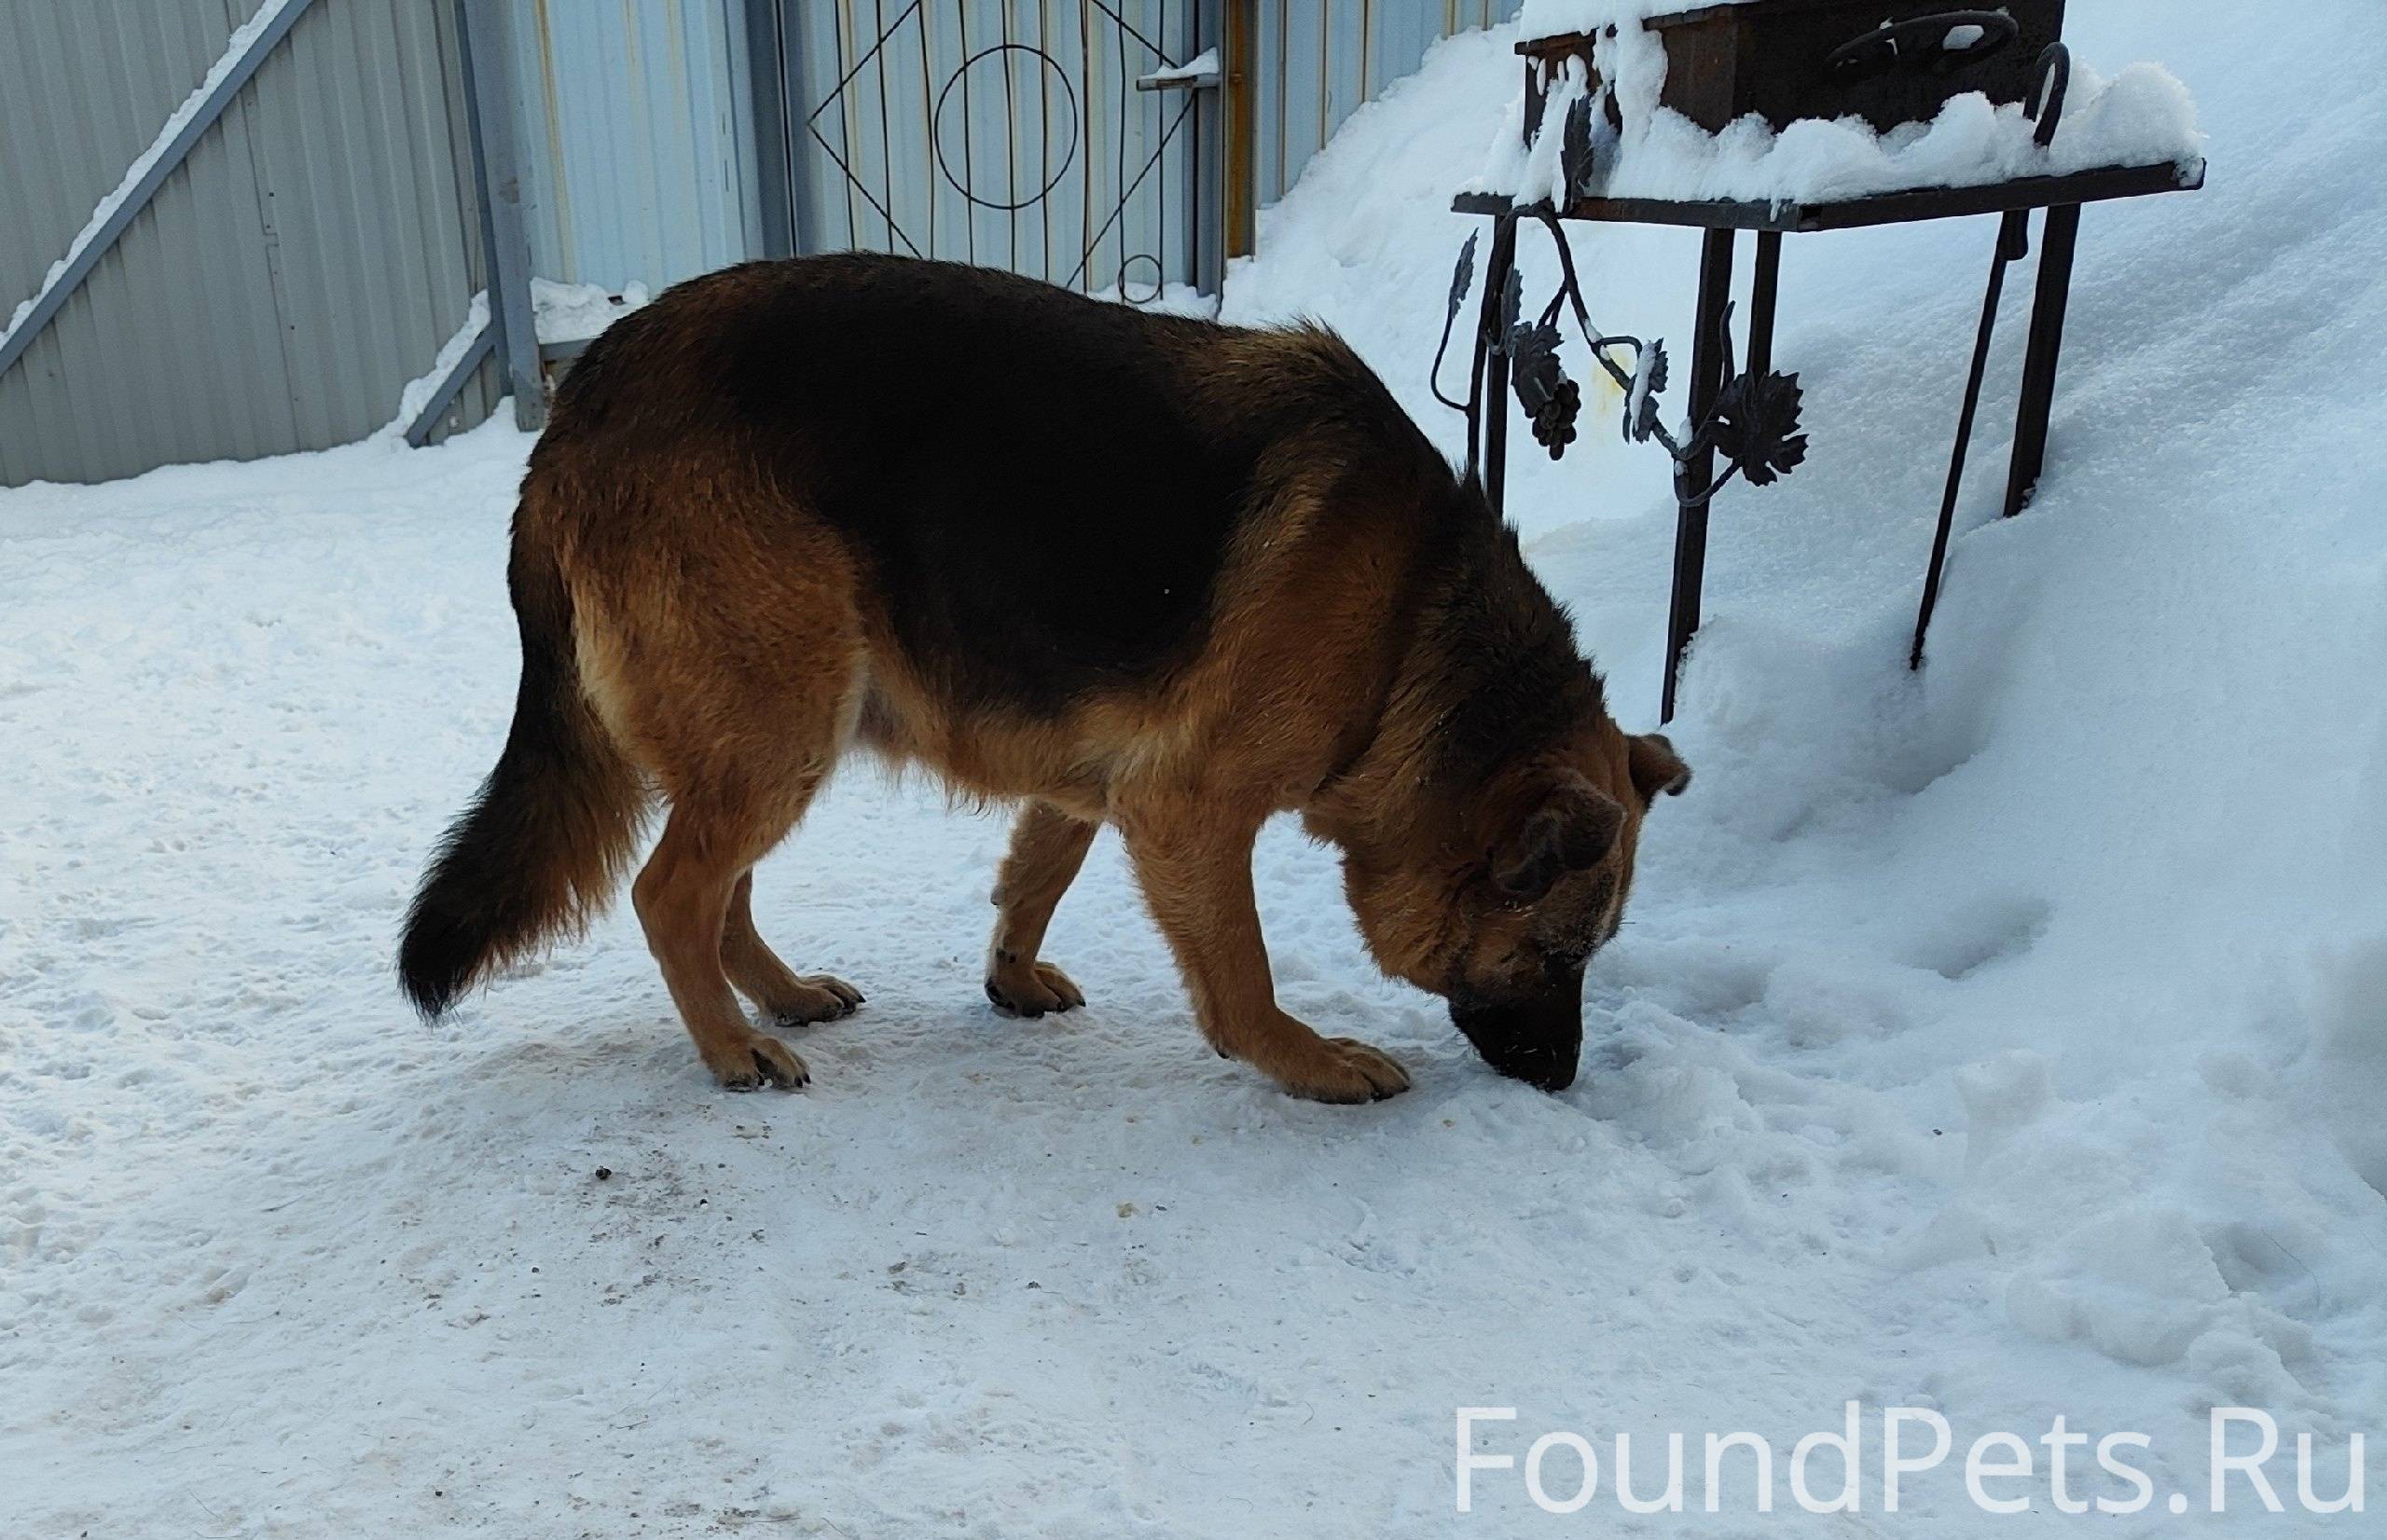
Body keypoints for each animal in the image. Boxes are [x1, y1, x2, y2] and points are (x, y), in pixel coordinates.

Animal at [401, 255, 1690, 1093]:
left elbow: (1037, 873)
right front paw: (1305, 1059)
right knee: (672, 892)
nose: (1566, 1079)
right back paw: (730, 1047)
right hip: (780, 725)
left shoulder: (1097, 778)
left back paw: (779, 993)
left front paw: (1010, 977)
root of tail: (577, 403)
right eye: (1559, 955)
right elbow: (1241, 967)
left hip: (775, 727)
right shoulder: (1190, 806)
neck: (1413, 624)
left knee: (724, 891)